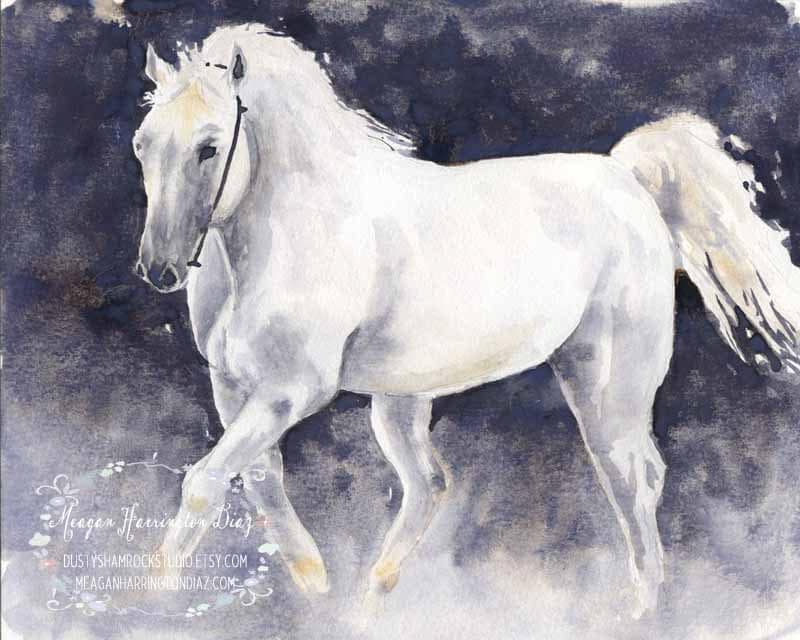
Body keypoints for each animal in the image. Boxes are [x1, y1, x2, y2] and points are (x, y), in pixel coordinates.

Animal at [133, 23, 800, 616]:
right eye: (142, 143)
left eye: (209, 146)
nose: (158, 269)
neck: (287, 228)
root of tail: (628, 180)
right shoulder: (232, 387)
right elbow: (259, 481)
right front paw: (313, 587)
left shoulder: (292, 390)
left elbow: (203, 482)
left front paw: (155, 601)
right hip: (401, 399)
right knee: (432, 485)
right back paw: (368, 605)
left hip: (604, 382)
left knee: (631, 478)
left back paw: (641, 612)